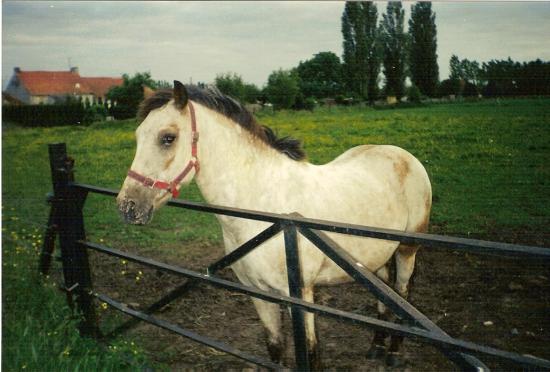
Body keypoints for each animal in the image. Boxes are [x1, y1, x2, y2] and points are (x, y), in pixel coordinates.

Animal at [118, 80, 434, 368]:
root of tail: (402, 155)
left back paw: (393, 354)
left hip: (407, 249)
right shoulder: (260, 295)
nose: (127, 207)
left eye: (167, 138)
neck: (264, 212)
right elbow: (275, 348)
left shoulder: (301, 297)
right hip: (373, 257)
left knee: (403, 294)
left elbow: (312, 354)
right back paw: (376, 348)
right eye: (138, 135)